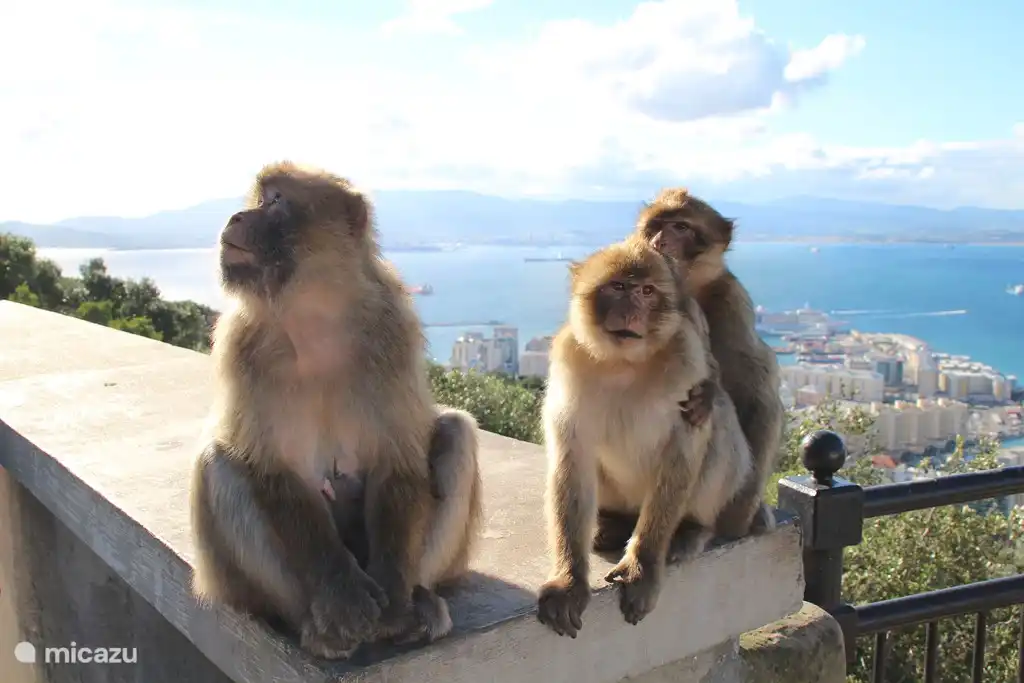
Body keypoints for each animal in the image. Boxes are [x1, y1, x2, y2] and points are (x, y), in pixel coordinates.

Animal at [188, 161, 483, 660]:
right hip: (229, 582)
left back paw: (419, 602)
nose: (235, 217)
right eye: (260, 197)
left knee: (456, 432)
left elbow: (398, 462)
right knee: (219, 463)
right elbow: (274, 470)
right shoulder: (240, 345)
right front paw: (342, 597)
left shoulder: (393, 332)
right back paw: (315, 623)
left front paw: (396, 601)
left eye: (276, 200)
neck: (314, 315)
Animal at [535, 238, 755, 637]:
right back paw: (609, 524)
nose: (632, 311)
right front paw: (568, 581)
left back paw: (691, 528)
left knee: (717, 427)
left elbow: (682, 451)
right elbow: (571, 462)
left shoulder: (686, 356)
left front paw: (643, 568)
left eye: (647, 292)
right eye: (619, 287)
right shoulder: (568, 360)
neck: (625, 362)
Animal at [626, 187, 784, 543]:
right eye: (658, 224)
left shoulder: (732, 302)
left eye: (681, 228)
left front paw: (741, 518)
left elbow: (759, 392)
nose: (660, 240)